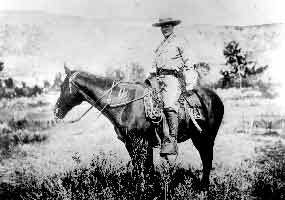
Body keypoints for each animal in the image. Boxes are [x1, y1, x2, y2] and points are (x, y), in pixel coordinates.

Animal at [53, 65, 224, 191]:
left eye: (62, 86)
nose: (56, 111)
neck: (125, 103)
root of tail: (215, 97)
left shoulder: (141, 142)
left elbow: (146, 168)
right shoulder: (130, 143)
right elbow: (139, 168)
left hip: (206, 137)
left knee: (207, 159)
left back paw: (203, 187)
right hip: (198, 137)